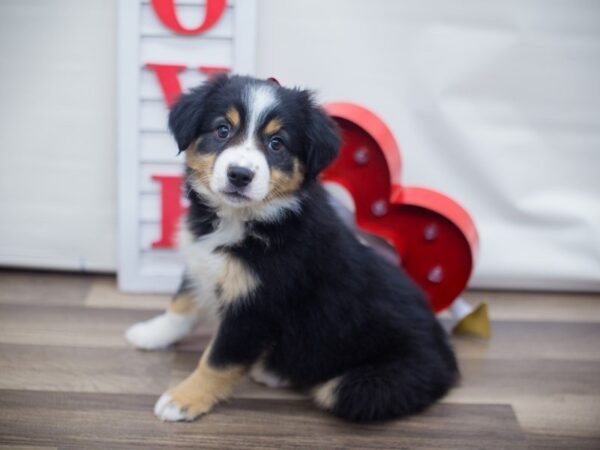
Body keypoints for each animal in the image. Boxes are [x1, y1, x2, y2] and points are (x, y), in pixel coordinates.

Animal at [124, 75, 458, 424]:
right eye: (222, 130)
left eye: (277, 143)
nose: (239, 175)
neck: (242, 221)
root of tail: (448, 358)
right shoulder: (200, 262)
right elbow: (182, 305)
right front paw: (151, 333)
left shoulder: (255, 307)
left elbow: (218, 360)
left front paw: (183, 399)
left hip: (358, 386)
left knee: (328, 384)